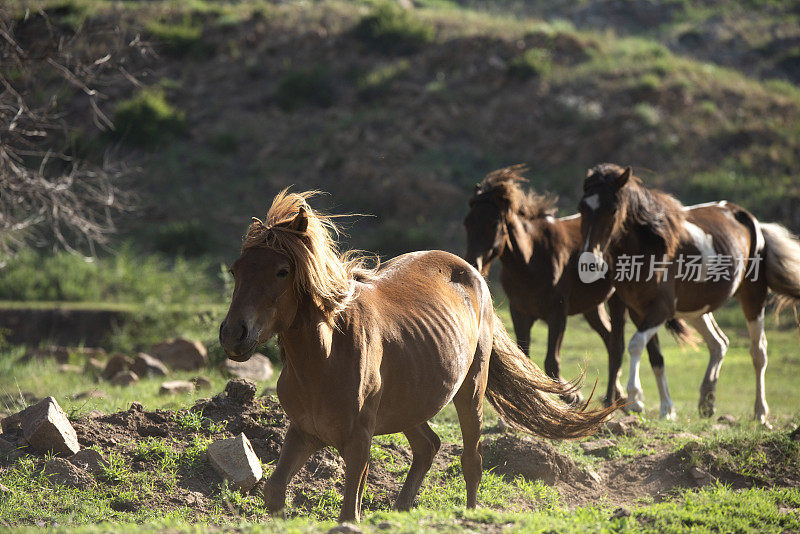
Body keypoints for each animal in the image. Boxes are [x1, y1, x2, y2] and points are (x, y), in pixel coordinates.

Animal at [217, 192, 612, 524]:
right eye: (236, 270)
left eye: (282, 271)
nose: (233, 334)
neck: (324, 359)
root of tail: (471, 272)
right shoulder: (304, 433)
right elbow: (275, 492)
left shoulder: (357, 442)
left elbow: (349, 511)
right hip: (410, 403)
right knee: (428, 446)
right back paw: (401, 509)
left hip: (470, 390)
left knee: (471, 460)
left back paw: (468, 513)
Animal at [462, 168, 668, 406]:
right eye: (467, 223)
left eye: (494, 224)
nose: (473, 264)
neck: (530, 260)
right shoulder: (520, 312)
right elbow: (524, 356)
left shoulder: (557, 313)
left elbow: (552, 360)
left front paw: (571, 395)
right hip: (592, 307)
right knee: (609, 339)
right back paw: (617, 395)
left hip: (619, 301)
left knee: (617, 345)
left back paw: (612, 399)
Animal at [580, 164, 800, 428]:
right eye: (582, 208)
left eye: (613, 210)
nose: (589, 262)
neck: (648, 247)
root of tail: (752, 221)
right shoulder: (639, 311)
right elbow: (656, 358)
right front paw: (666, 409)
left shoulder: (660, 309)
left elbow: (635, 345)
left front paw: (635, 400)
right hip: (696, 309)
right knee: (719, 343)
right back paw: (707, 401)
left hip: (753, 298)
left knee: (758, 352)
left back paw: (760, 413)